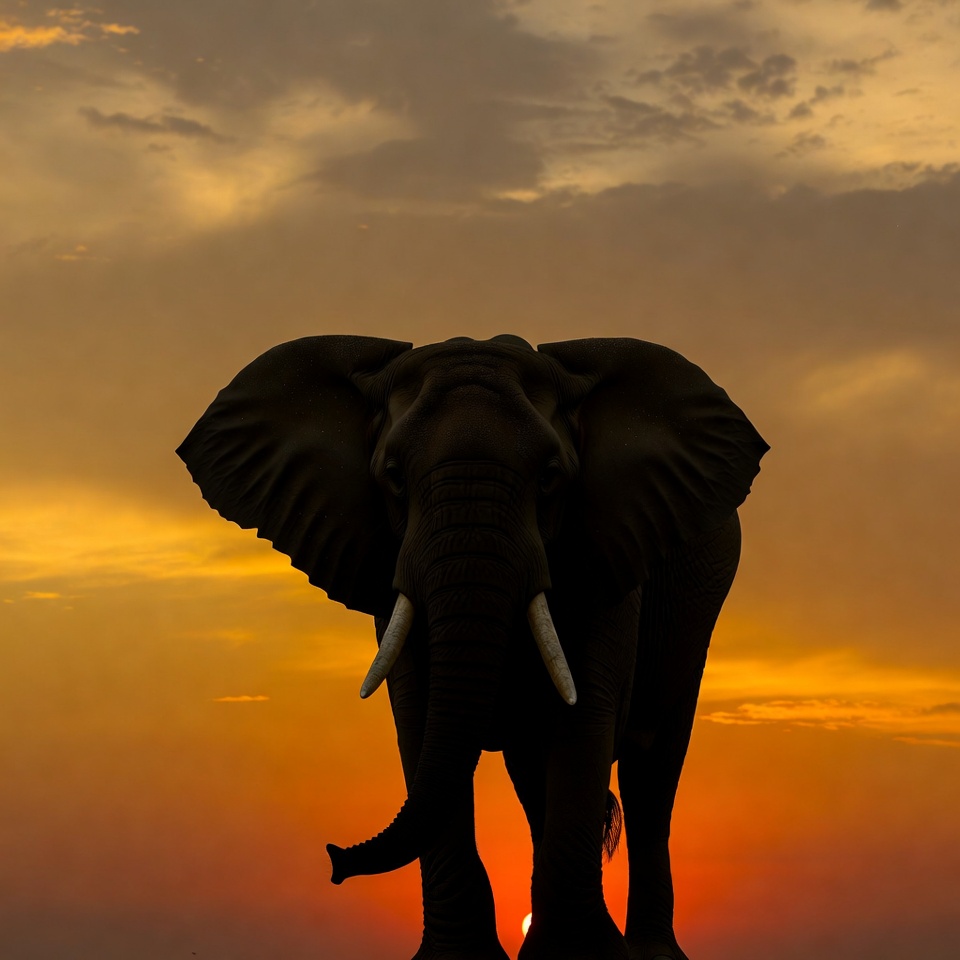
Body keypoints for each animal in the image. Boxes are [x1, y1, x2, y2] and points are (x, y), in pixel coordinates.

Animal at [177, 334, 767, 960]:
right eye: (392, 476)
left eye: (551, 477)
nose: (334, 859)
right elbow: (419, 717)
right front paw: (461, 958)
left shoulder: (608, 550)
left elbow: (582, 715)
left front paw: (574, 957)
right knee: (535, 776)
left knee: (650, 768)